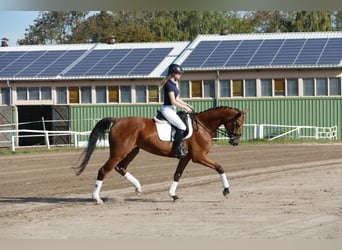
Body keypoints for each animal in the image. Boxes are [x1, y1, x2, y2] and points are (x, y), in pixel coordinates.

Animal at [75, 105, 247, 203]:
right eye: (237, 123)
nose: (235, 142)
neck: (203, 125)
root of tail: (117, 120)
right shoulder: (199, 157)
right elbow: (220, 167)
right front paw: (226, 190)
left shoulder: (186, 157)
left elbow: (177, 174)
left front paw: (173, 195)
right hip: (119, 152)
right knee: (104, 170)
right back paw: (97, 198)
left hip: (132, 151)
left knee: (121, 168)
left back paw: (138, 189)